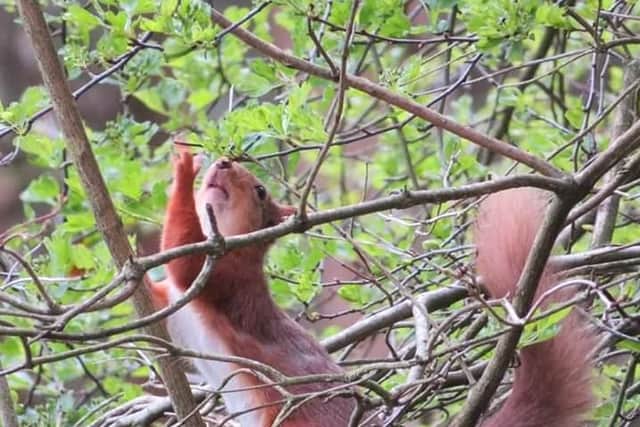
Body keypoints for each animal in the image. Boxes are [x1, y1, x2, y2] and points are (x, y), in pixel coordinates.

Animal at [149, 151, 355, 426]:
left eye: (261, 191)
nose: (223, 162)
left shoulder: (232, 278)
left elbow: (186, 261)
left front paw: (184, 170)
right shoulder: (172, 307)